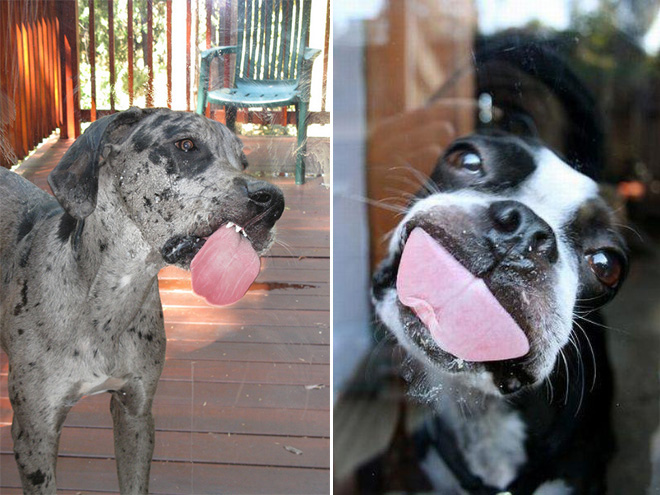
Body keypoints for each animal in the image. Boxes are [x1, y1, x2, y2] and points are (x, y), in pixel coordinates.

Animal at [0, 106, 282, 494]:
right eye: (186, 144)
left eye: (243, 161)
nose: (274, 201)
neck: (107, 304)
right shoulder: (34, 436)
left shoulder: (135, 412)